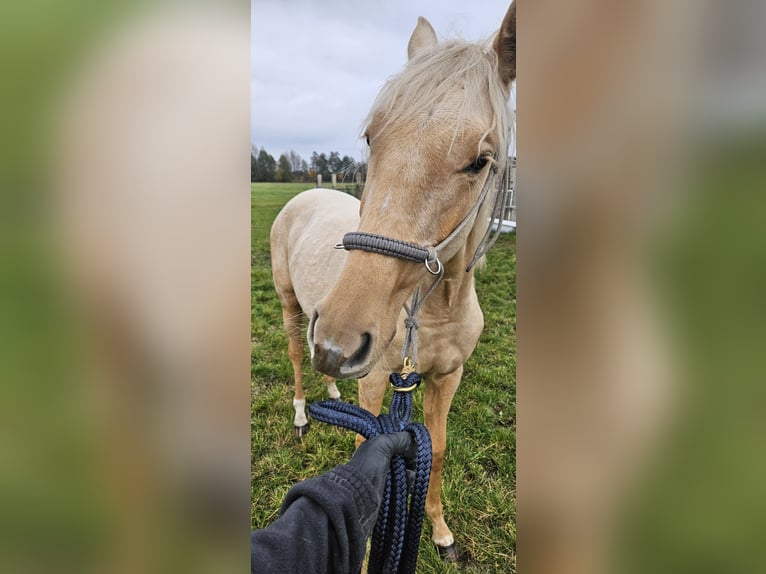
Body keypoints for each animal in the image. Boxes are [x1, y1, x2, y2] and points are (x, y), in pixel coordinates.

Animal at [269, 3, 515, 559]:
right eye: (371, 138)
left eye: (480, 160)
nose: (339, 340)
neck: (434, 311)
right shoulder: (377, 380)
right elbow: (367, 455)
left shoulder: (447, 377)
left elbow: (437, 448)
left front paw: (441, 532)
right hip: (293, 307)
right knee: (296, 354)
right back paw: (302, 414)